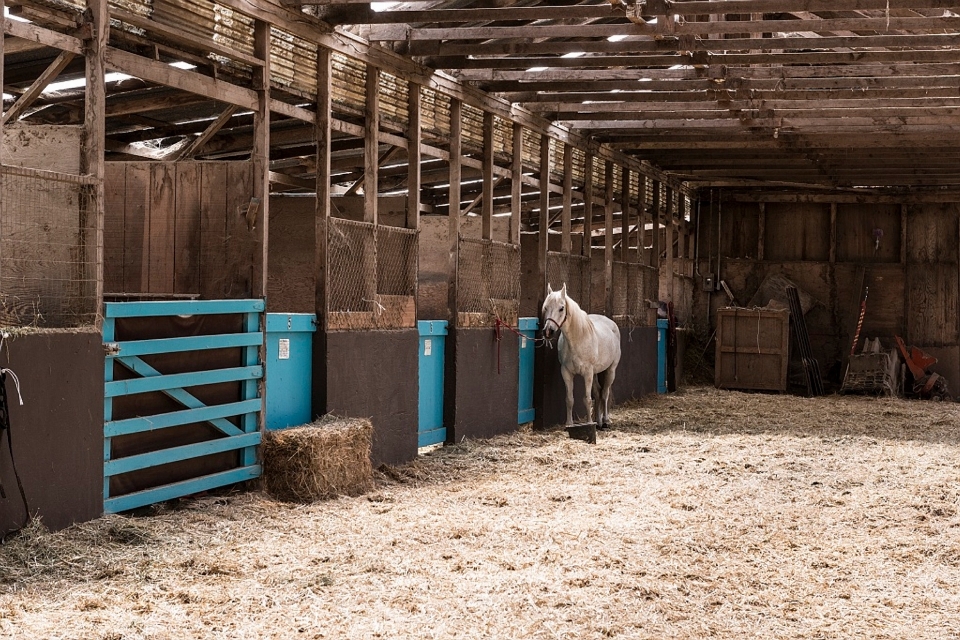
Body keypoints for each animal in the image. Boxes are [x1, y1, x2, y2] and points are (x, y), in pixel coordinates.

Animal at [540, 282, 624, 428]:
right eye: (546, 307)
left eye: (561, 308)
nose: (548, 331)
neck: (577, 340)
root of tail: (611, 323)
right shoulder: (566, 372)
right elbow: (569, 399)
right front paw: (569, 424)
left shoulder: (587, 373)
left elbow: (587, 399)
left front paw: (589, 423)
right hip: (596, 372)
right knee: (598, 393)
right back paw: (599, 422)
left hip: (610, 370)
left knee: (605, 393)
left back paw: (606, 421)